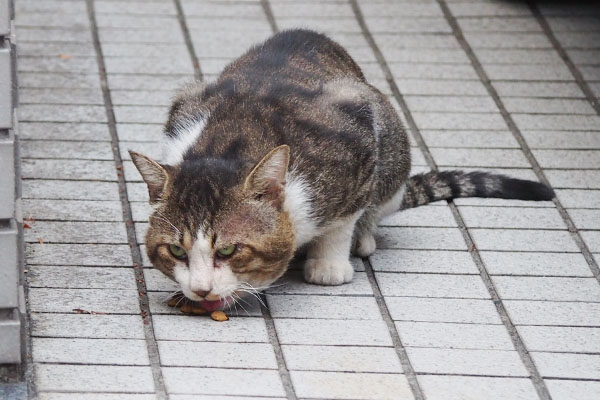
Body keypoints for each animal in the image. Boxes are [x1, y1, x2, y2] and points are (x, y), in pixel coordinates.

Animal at [130, 29, 552, 310]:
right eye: (176, 251)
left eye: (230, 250)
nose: (201, 290)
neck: (229, 146)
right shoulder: (183, 110)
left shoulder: (356, 138)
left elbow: (343, 219)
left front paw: (329, 263)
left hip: (390, 137)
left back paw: (362, 239)